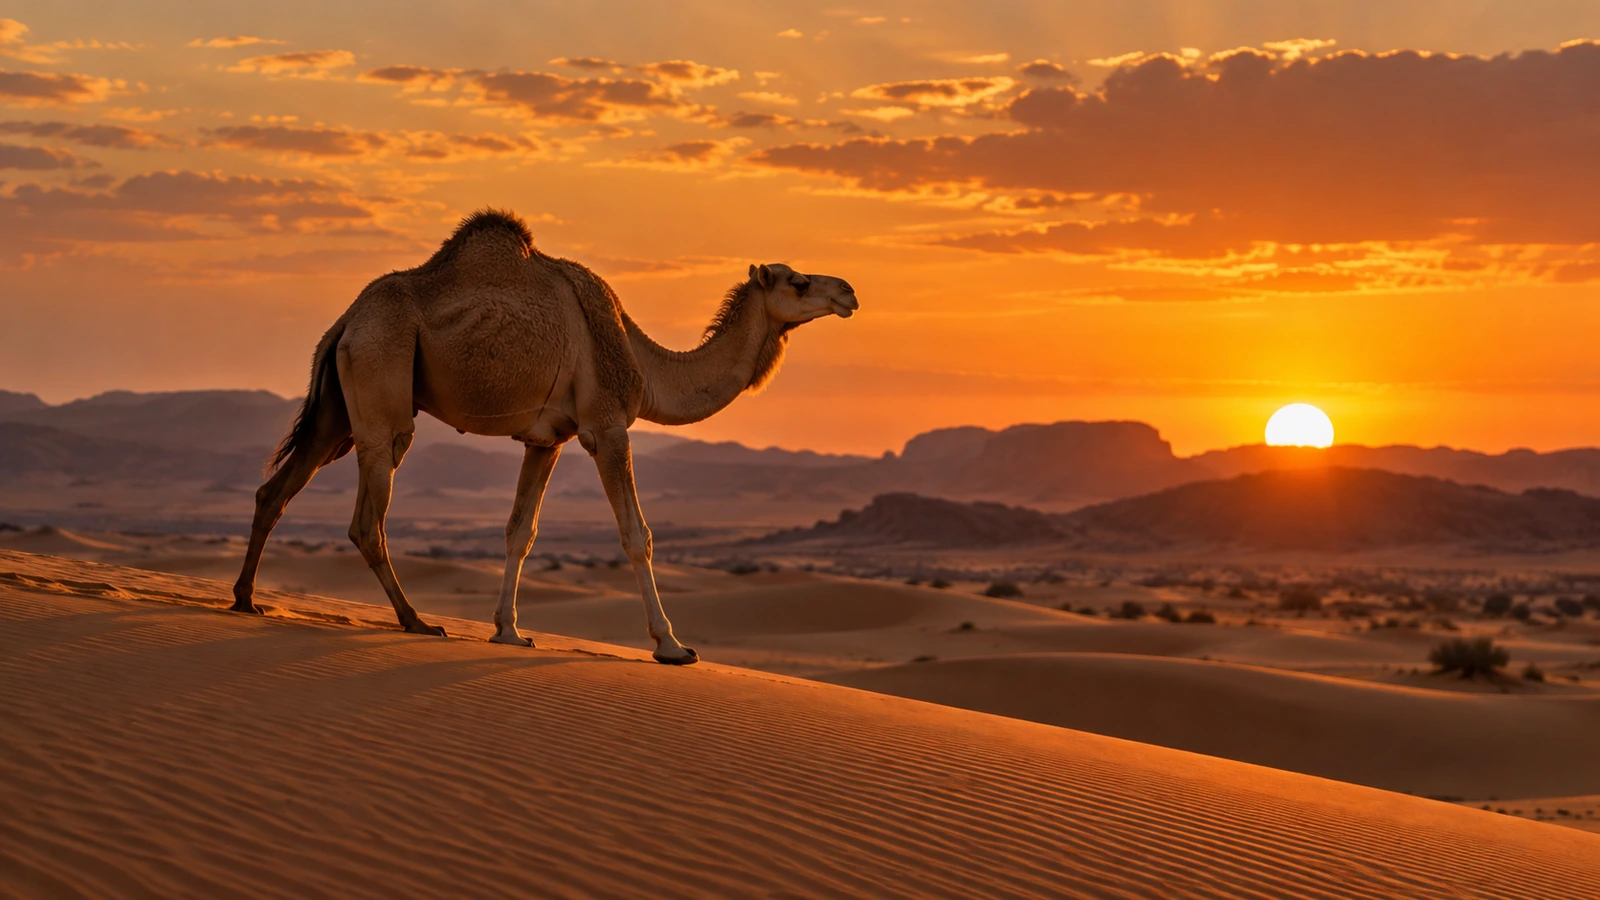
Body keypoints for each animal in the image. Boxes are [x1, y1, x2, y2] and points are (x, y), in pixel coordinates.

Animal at [230, 209, 858, 665]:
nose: (850, 292)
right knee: (368, 518)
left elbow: (520, 532)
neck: (642, 357)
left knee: (275, 491)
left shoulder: (546, 439)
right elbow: (637, 535)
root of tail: (346, 320)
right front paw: (673, 646)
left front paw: (508, 631)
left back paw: (245, 600)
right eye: (800, 282)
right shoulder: (606, 426)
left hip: (336, 411)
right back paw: (417, 621)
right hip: (383, 386)